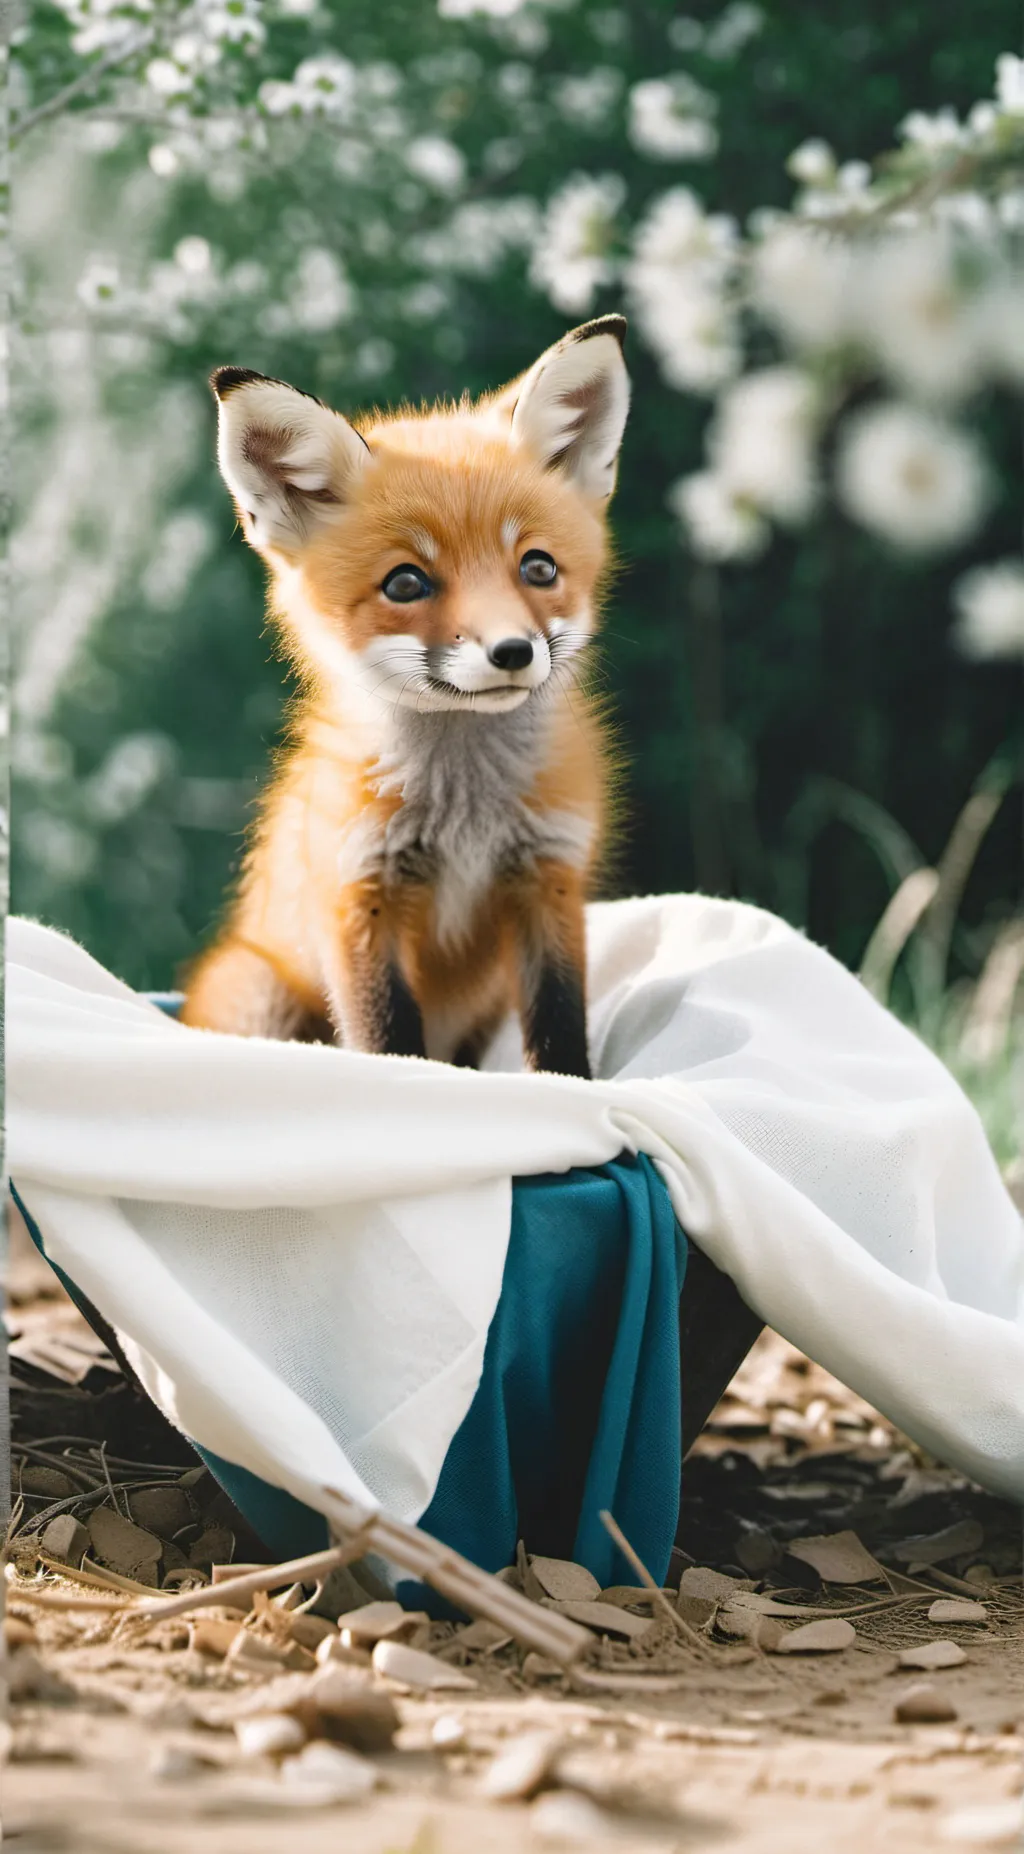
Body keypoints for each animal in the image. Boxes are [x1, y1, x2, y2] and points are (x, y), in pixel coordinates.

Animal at [180, 315, 632, 1078]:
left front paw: (571, 1089)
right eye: (405, 583)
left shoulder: (548, 879)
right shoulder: (357, 896)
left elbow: (559, 1025)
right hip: (262, 998)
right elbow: (386, 1038)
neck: (465, 817)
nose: (513, 652)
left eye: (538, 568)